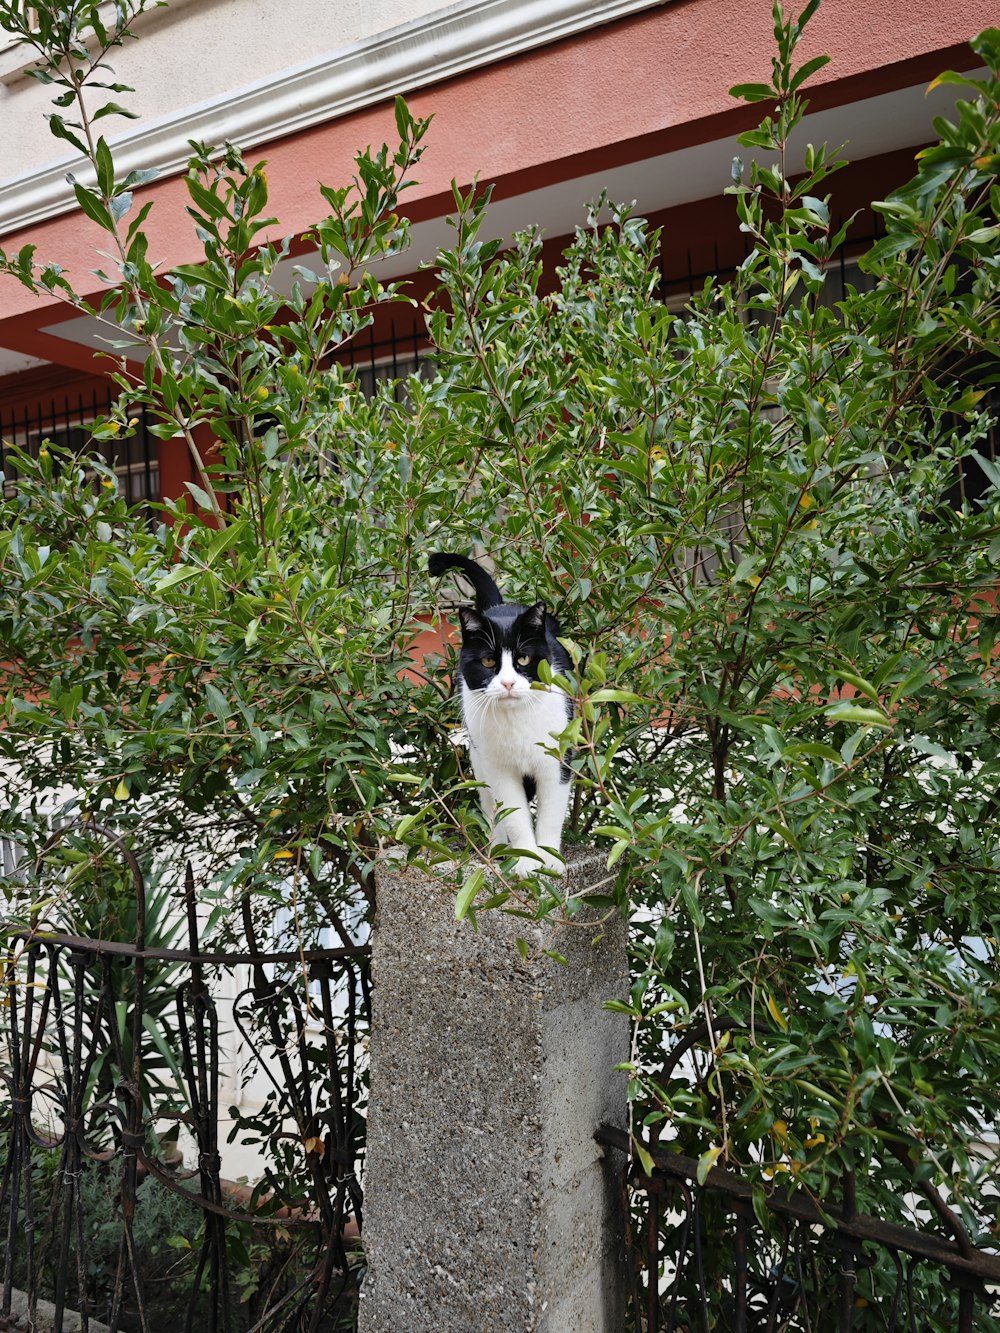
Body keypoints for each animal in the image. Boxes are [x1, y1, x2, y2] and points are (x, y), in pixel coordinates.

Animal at [429, 551, 576, 874]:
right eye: (487, 662)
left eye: (523, 659)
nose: (508, 682)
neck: (516, 721)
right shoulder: (499, 770)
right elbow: (516, 816)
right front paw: (526, 860)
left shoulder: (555, 763)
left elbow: (550, 814)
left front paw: (549, 859)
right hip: (478, 759)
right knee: (491, 808)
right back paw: (496, 849)